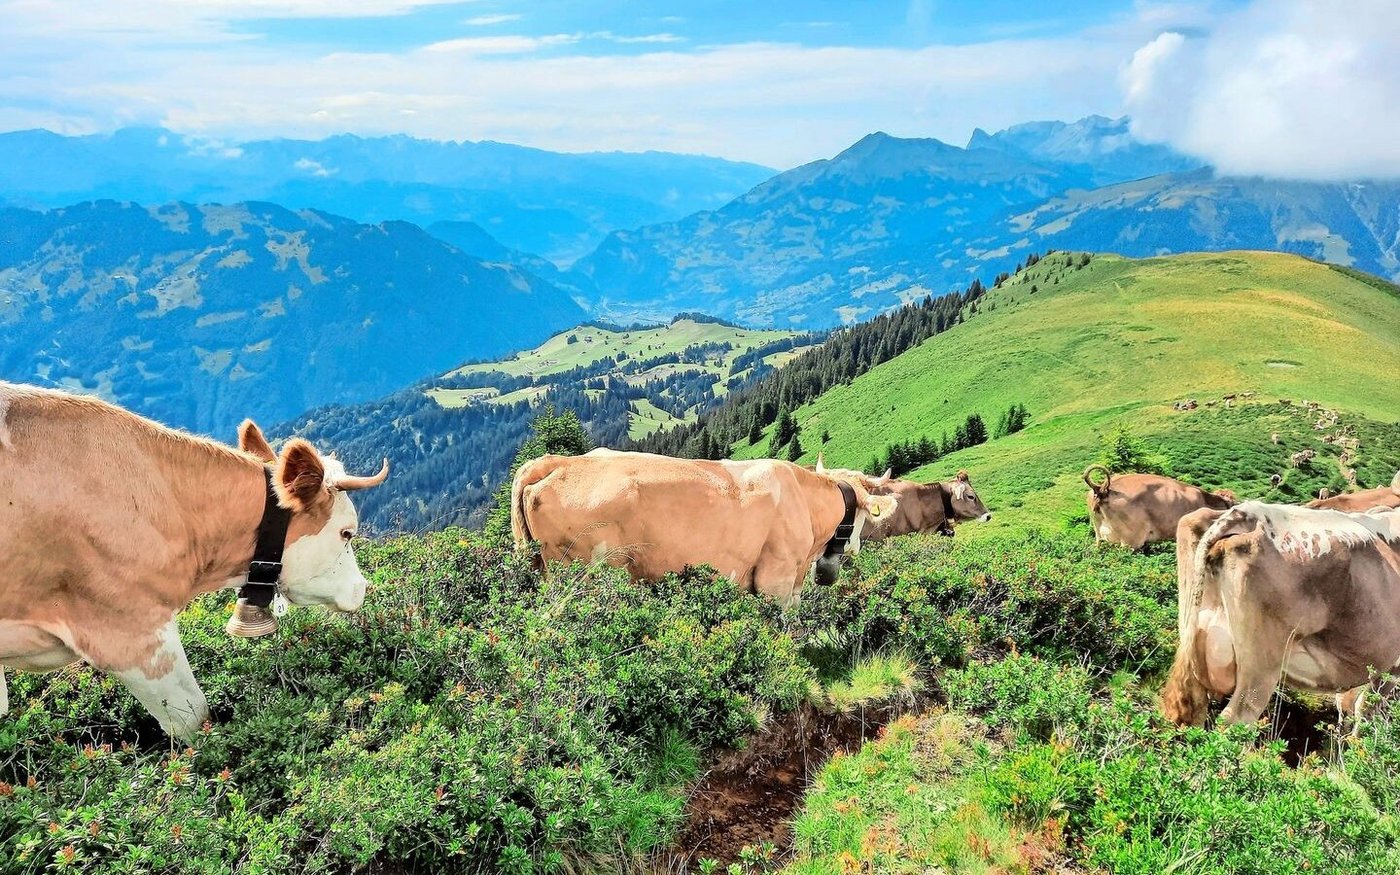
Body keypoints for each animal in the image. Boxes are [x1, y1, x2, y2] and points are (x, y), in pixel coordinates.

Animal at [1162, 503, 1400, 727]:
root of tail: (1247, 512)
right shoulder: (1392, 670)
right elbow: (1365, 711)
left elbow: (1347, 707)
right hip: (1262, 666)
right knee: (1236, 718)